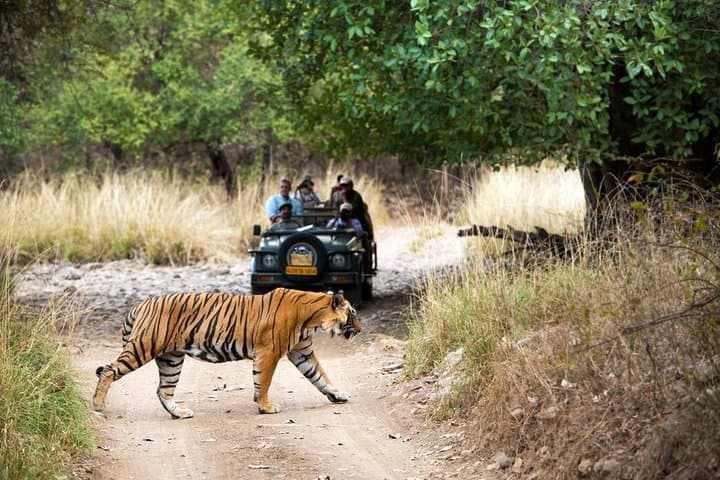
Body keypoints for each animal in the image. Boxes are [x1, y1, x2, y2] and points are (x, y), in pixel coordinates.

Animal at [92, 288, 360, 418]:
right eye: (353, 313)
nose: (360, 329)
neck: (312, 319)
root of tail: (140, 303)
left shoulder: (301, 352)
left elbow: (321, 376)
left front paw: (338, 395)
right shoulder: (269, 351)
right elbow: (263, 381)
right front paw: (265, 407)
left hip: (171, 359)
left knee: (163, 390)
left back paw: (180, 413)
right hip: (143, 346)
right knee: (109, 370)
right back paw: (97, 406)